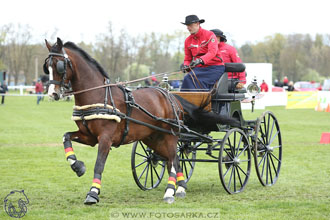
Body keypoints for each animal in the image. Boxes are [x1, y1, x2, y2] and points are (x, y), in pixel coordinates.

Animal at [44, 37, 240, 205]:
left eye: (59, 65)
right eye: (47, 67)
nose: (53, 94)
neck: (99, 95)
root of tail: (170, 95)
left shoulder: (105, 138)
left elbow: (99, 164)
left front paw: (93, 193)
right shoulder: (89, 136)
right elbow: (66, 137)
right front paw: (78, 166)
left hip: (170, 135)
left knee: (173, 160)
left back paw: (170, 191)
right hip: (153, 138)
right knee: (174, 159)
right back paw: (180, 188)